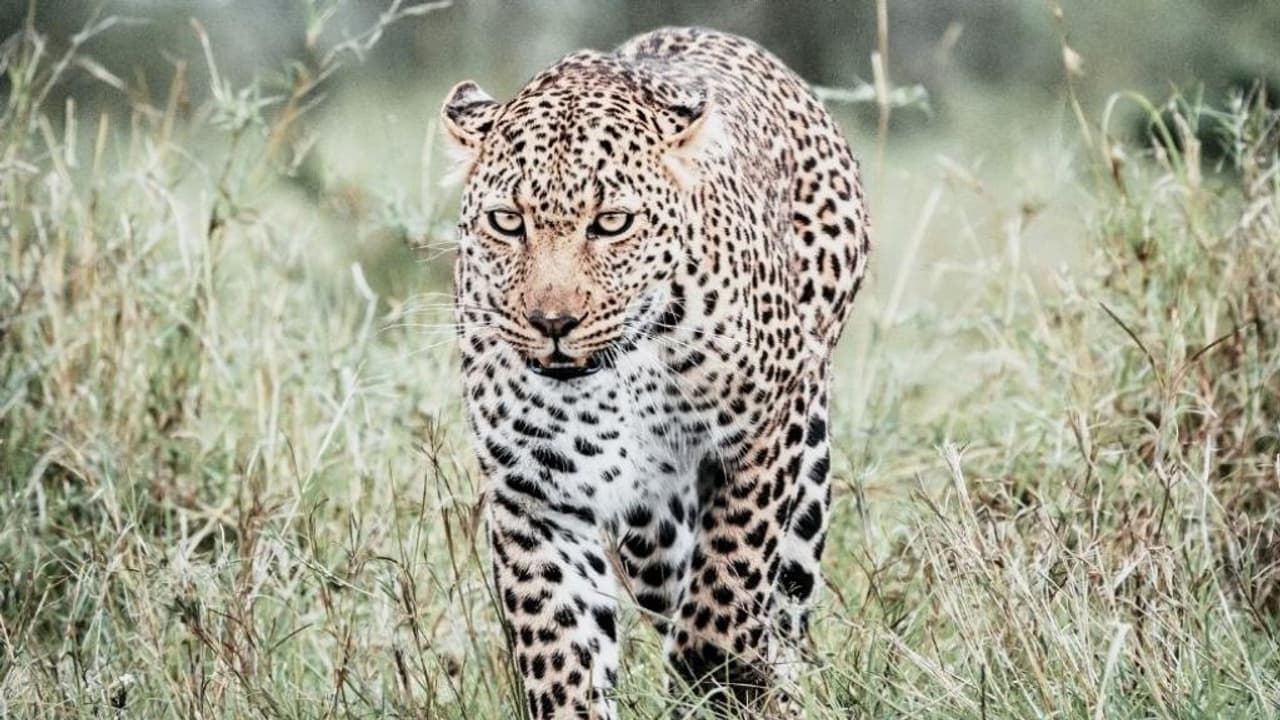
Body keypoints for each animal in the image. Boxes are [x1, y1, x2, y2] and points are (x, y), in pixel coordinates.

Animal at [440, 26, 869, 719]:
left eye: (611, 223)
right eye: (507, 221)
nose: (552, 321)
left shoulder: (763, 439)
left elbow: (728, 586)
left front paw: (722, 671)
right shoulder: (533, 495)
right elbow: (562, 655)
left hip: (806, 453)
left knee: (785, 605)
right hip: (652, 525)